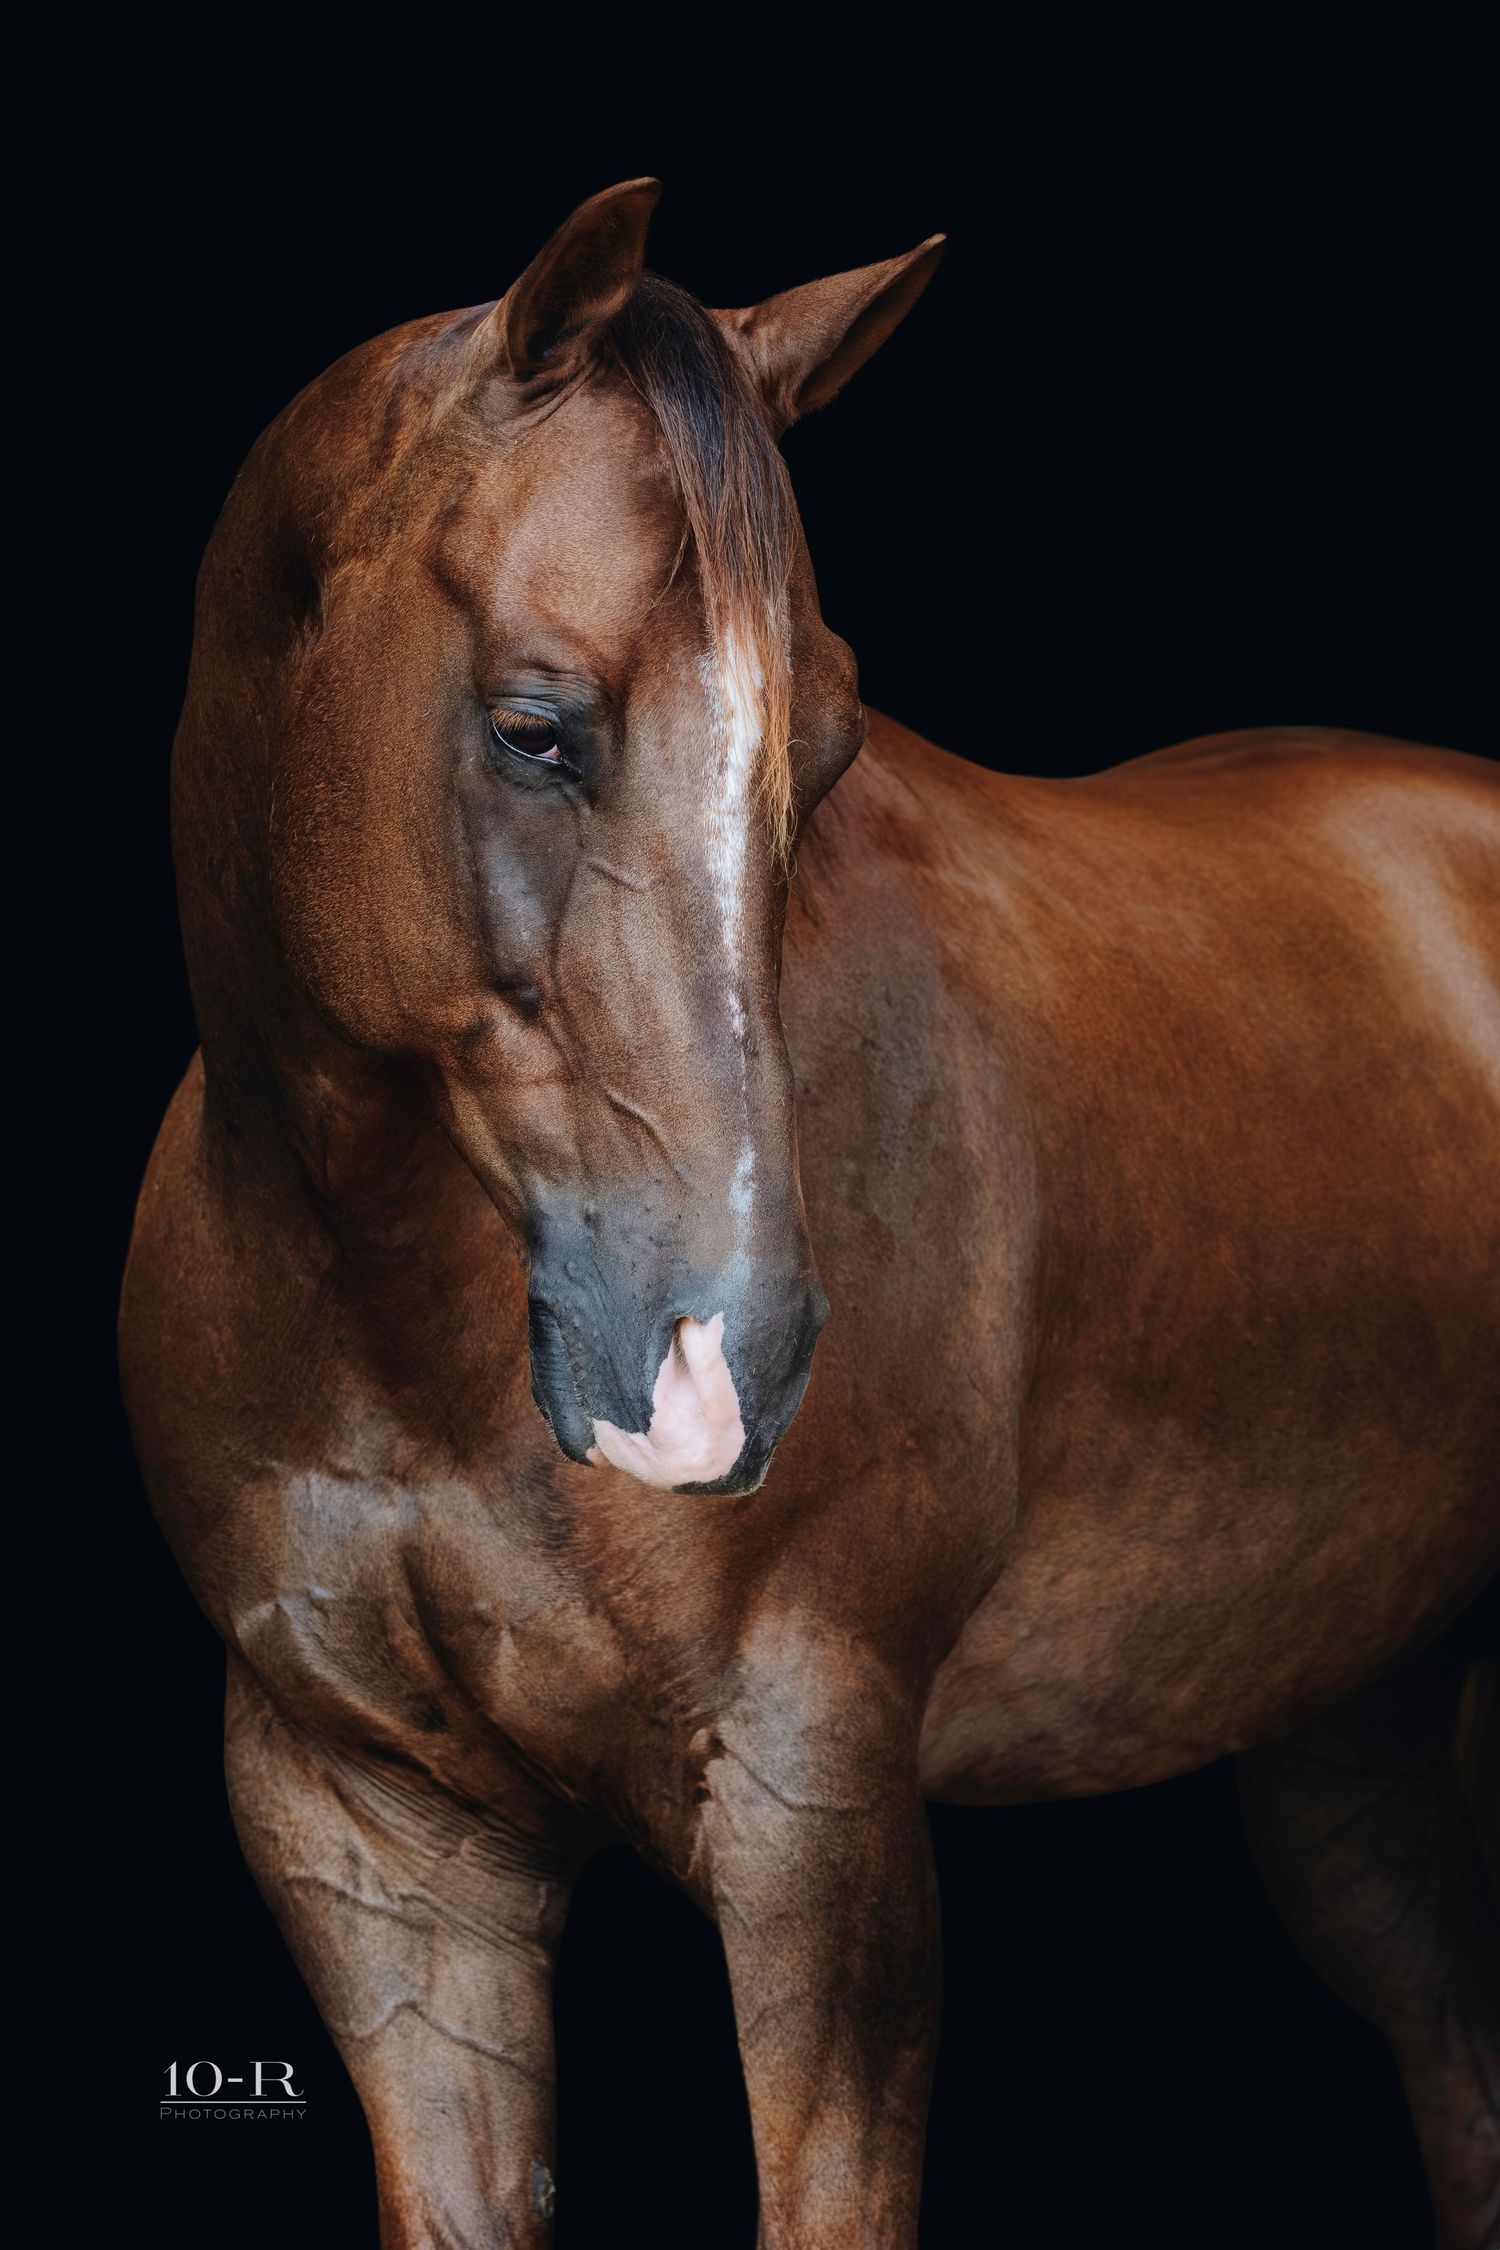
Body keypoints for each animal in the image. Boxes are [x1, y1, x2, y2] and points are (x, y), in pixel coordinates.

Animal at [121, 179, 1499, 2248]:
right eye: (534, 727)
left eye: (831, 740)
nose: (730, 1358)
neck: (388, 1319)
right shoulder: (375, 1853)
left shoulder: (813, 1822)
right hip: (1362, 1749)